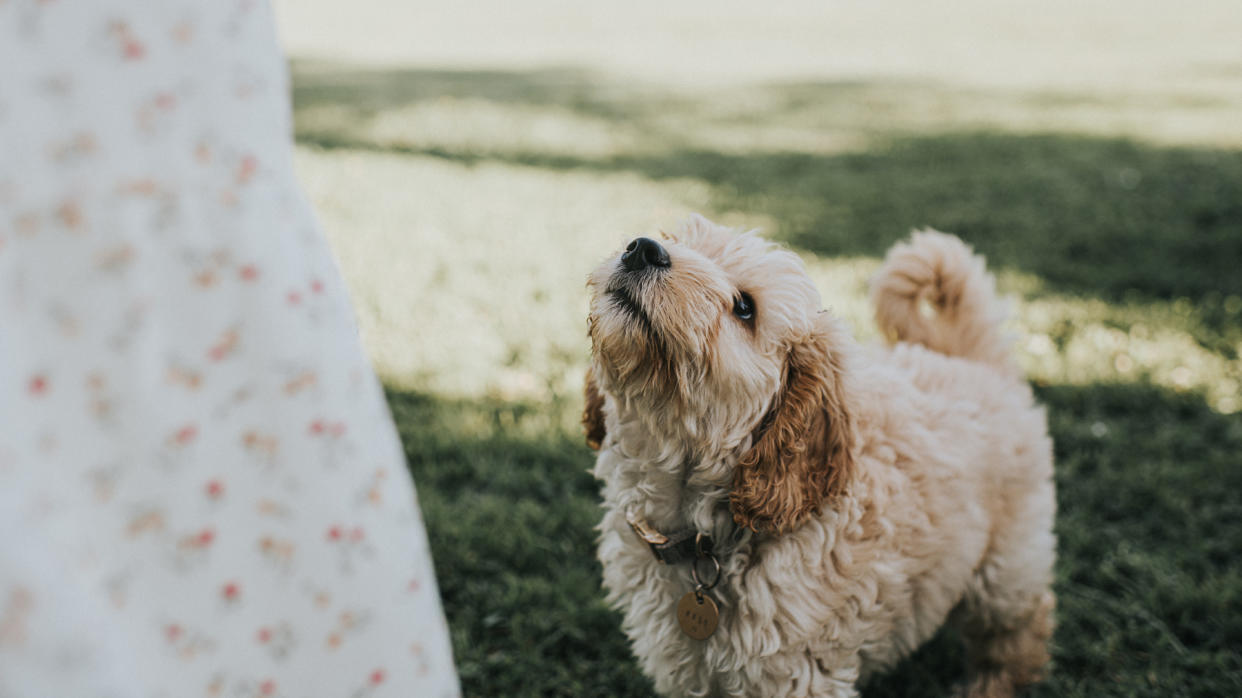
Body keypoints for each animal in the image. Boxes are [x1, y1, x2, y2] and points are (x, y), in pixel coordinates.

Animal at [586, 213, 1053, 695]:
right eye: (676, 240)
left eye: (745, 308)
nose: (643, 249)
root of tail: (970, 358)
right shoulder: (686, 666)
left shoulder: (795, 673)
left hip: (1007, 563)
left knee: (1019, 627)